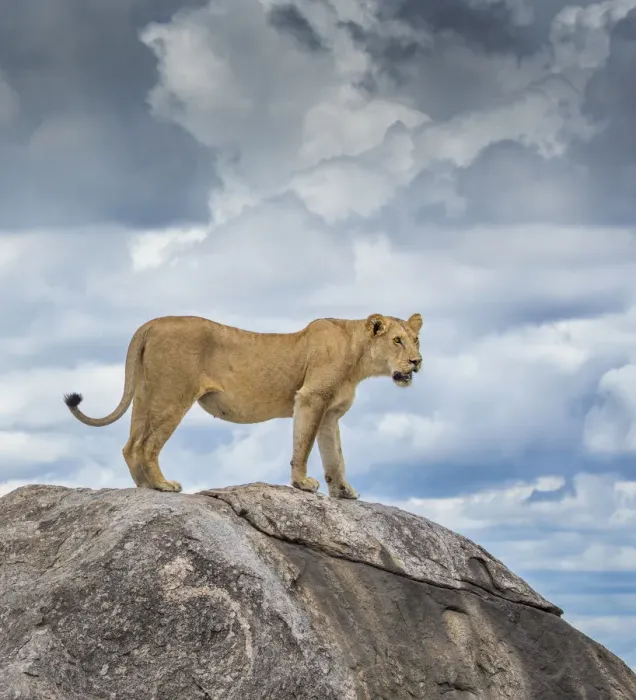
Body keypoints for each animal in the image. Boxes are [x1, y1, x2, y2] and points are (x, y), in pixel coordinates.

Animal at [64, 312, 423, 499]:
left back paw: (144, 488)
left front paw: (344, 490)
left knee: (130, 445)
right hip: (173, 395)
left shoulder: (330, 414)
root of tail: (150, 324)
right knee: (147, 445)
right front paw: (302, 483)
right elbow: (304, 445)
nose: (417, 362)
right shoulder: (310, 398)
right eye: (397, 340)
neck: (358, 357)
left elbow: (335, 456)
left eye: (416, 339)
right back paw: (163, 485)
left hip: (145, 395)